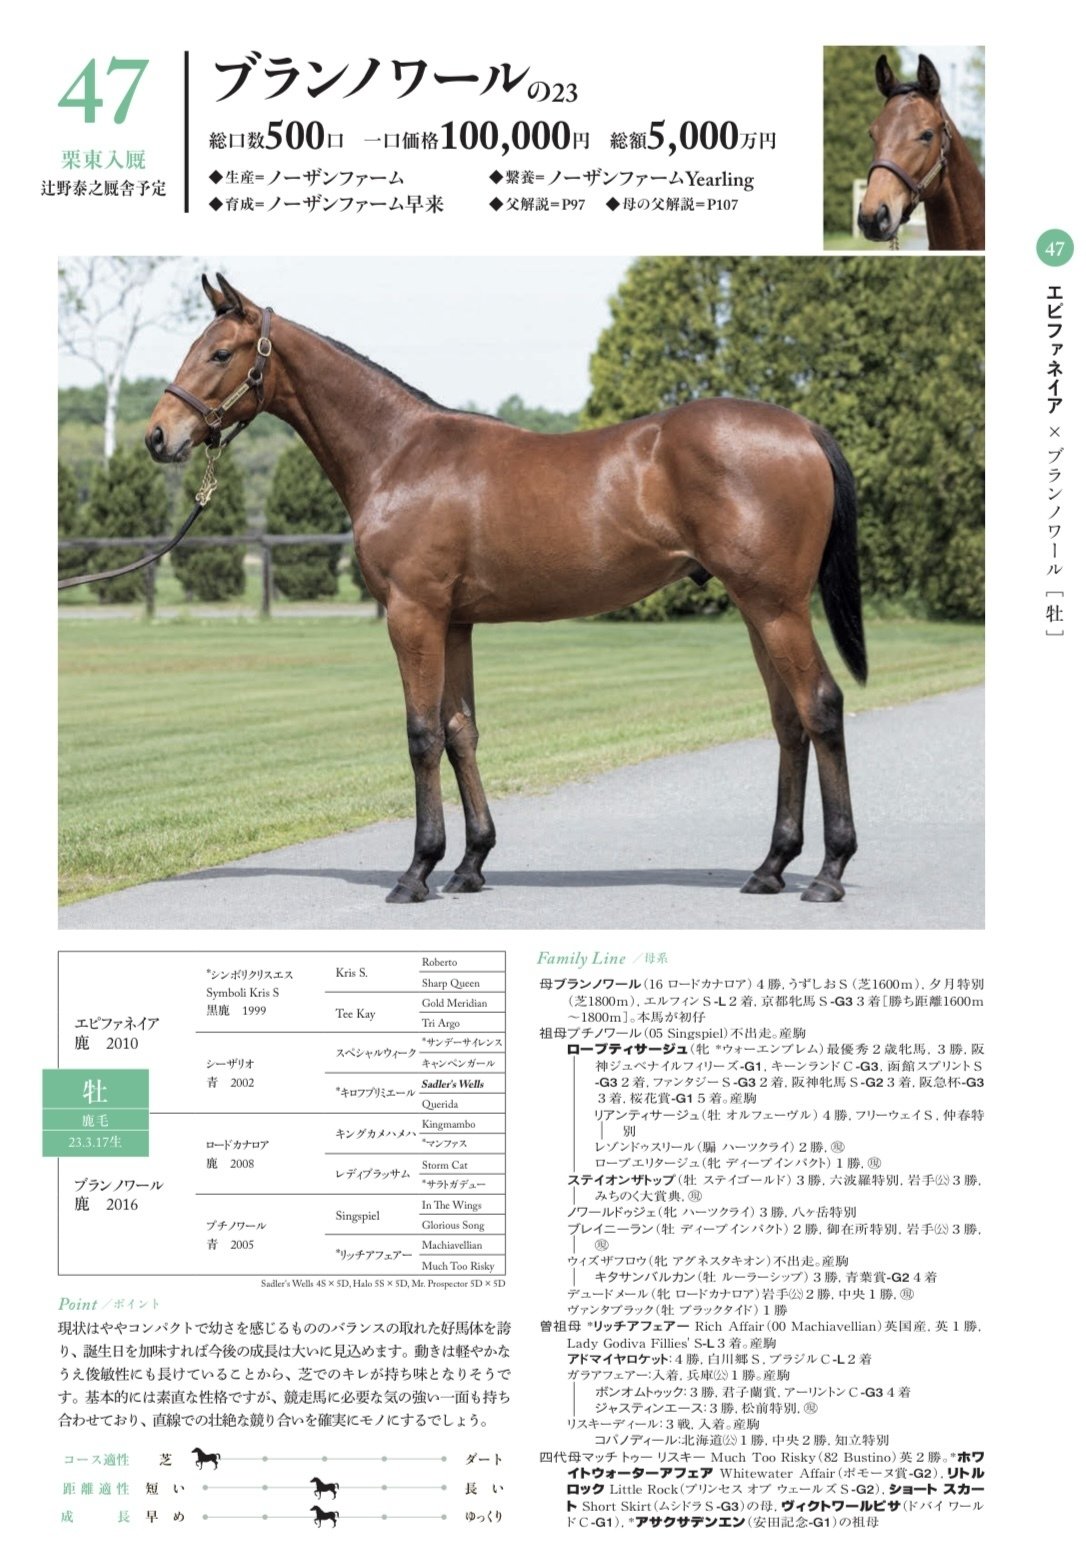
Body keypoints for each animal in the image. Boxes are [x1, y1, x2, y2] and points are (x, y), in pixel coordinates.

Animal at [146, 273, 867, 905]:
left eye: (219, 352)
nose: (158, 435)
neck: (399, 454)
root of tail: (804, 429)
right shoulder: (454, 623)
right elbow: (460, 730)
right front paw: (470, 864)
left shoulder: (413, 615)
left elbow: (421, 734)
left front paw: (418, 870)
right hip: (756, 609)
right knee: (788, 719)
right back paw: (771, 867)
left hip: (776, 608)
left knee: (820, 706)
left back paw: (830, 871)